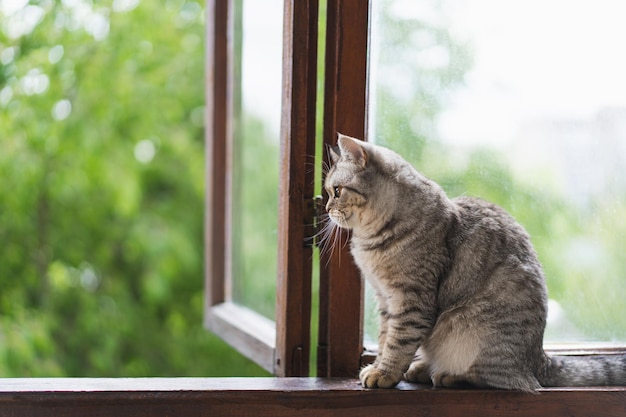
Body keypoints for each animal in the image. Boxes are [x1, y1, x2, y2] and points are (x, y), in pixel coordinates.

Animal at [322, 132, 624, 390]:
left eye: (336, 191)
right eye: (328, 192)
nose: (325, 208)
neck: (370, 241)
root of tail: (539, 358)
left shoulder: (410, 300)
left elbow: (398, 341)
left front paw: (384, 373)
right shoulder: (384, 299)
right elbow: (386, 337)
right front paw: (380, 366)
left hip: (472, 330)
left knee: (500, 378)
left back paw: (447, 375)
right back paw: (422, 368)